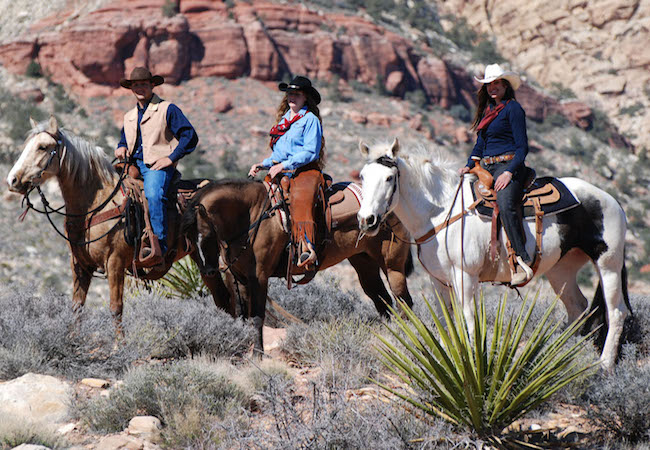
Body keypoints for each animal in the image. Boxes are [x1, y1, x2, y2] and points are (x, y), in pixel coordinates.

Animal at [6, 118, 229, 330]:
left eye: (42, 147)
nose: (12, 180)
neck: (96, 204)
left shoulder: (115, 262)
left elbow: (116, 309)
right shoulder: (79, 264)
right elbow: (77, 307)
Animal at [178, 179, 410, 356]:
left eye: (208, 236)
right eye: (187, 238)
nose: (208, 272)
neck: (252, 216)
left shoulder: (259, 278)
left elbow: (257, 317)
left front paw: (258, 354)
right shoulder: (241, 279)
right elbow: (244, 317)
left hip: (392, 267)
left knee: (403, 302)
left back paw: (406, 340)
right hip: (364, 263)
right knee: (382, 301)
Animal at [356, 140, 632, 370]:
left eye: (389, 178)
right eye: (362, 176)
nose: (366, 219)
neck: (440, 212)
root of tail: (613, 201)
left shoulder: (465, 276)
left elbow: (468, 319)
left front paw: (470, 363)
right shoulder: (439, 281)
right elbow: (446, 321)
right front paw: (447, 361)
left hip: (608, 265)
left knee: (616, 311)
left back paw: (604, 365)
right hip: (561, 271)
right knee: (578, 309)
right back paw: (562, 356)